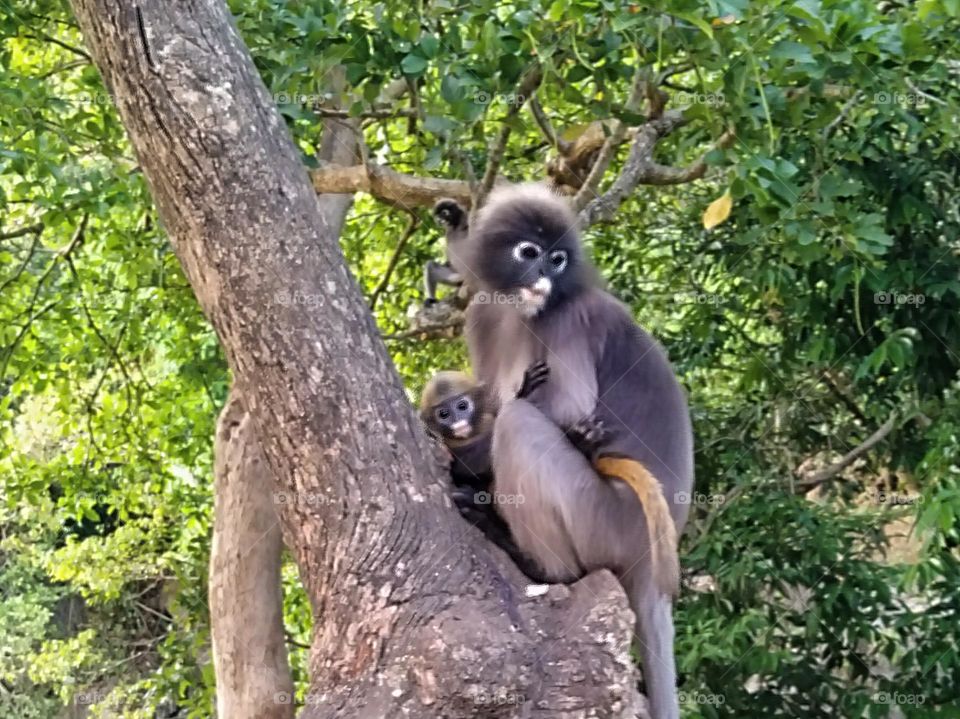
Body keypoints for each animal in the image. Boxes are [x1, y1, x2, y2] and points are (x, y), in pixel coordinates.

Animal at [456, 184, 694, 719]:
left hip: (602, 520)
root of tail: (650, 569)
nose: (545, 278)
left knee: (520, 426)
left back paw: (539, 566)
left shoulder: (571, 319)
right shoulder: (483, 314)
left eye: (559, 259)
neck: (519, 312)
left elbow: (566, 407)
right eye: (530, 253)